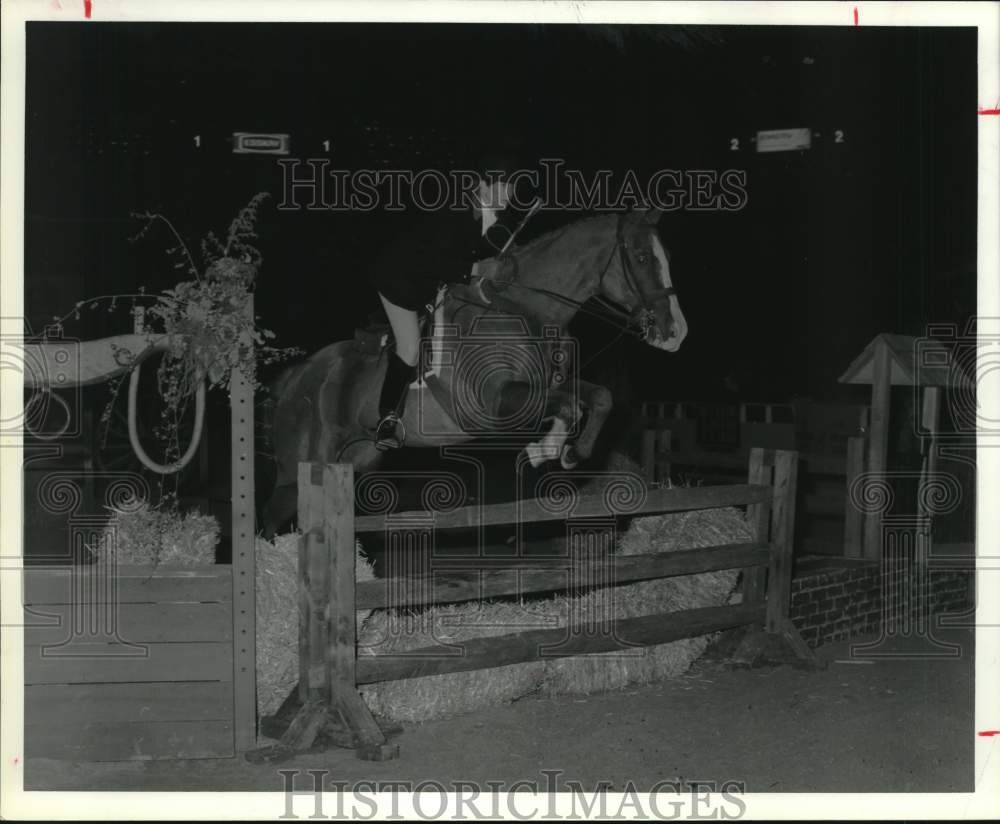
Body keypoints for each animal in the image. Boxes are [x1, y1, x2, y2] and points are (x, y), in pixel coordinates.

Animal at [260, 208, 688, 536]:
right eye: (642, 258)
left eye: (667, 255)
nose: (676, 333)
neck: (522, 310)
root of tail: (298, 375)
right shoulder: (497, 403)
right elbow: (568, 407)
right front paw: (543, 449)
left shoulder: (546, 385)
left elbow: (599, 397)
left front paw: (570, 453)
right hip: (299, 467)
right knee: (270, 519)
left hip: (355, 459)